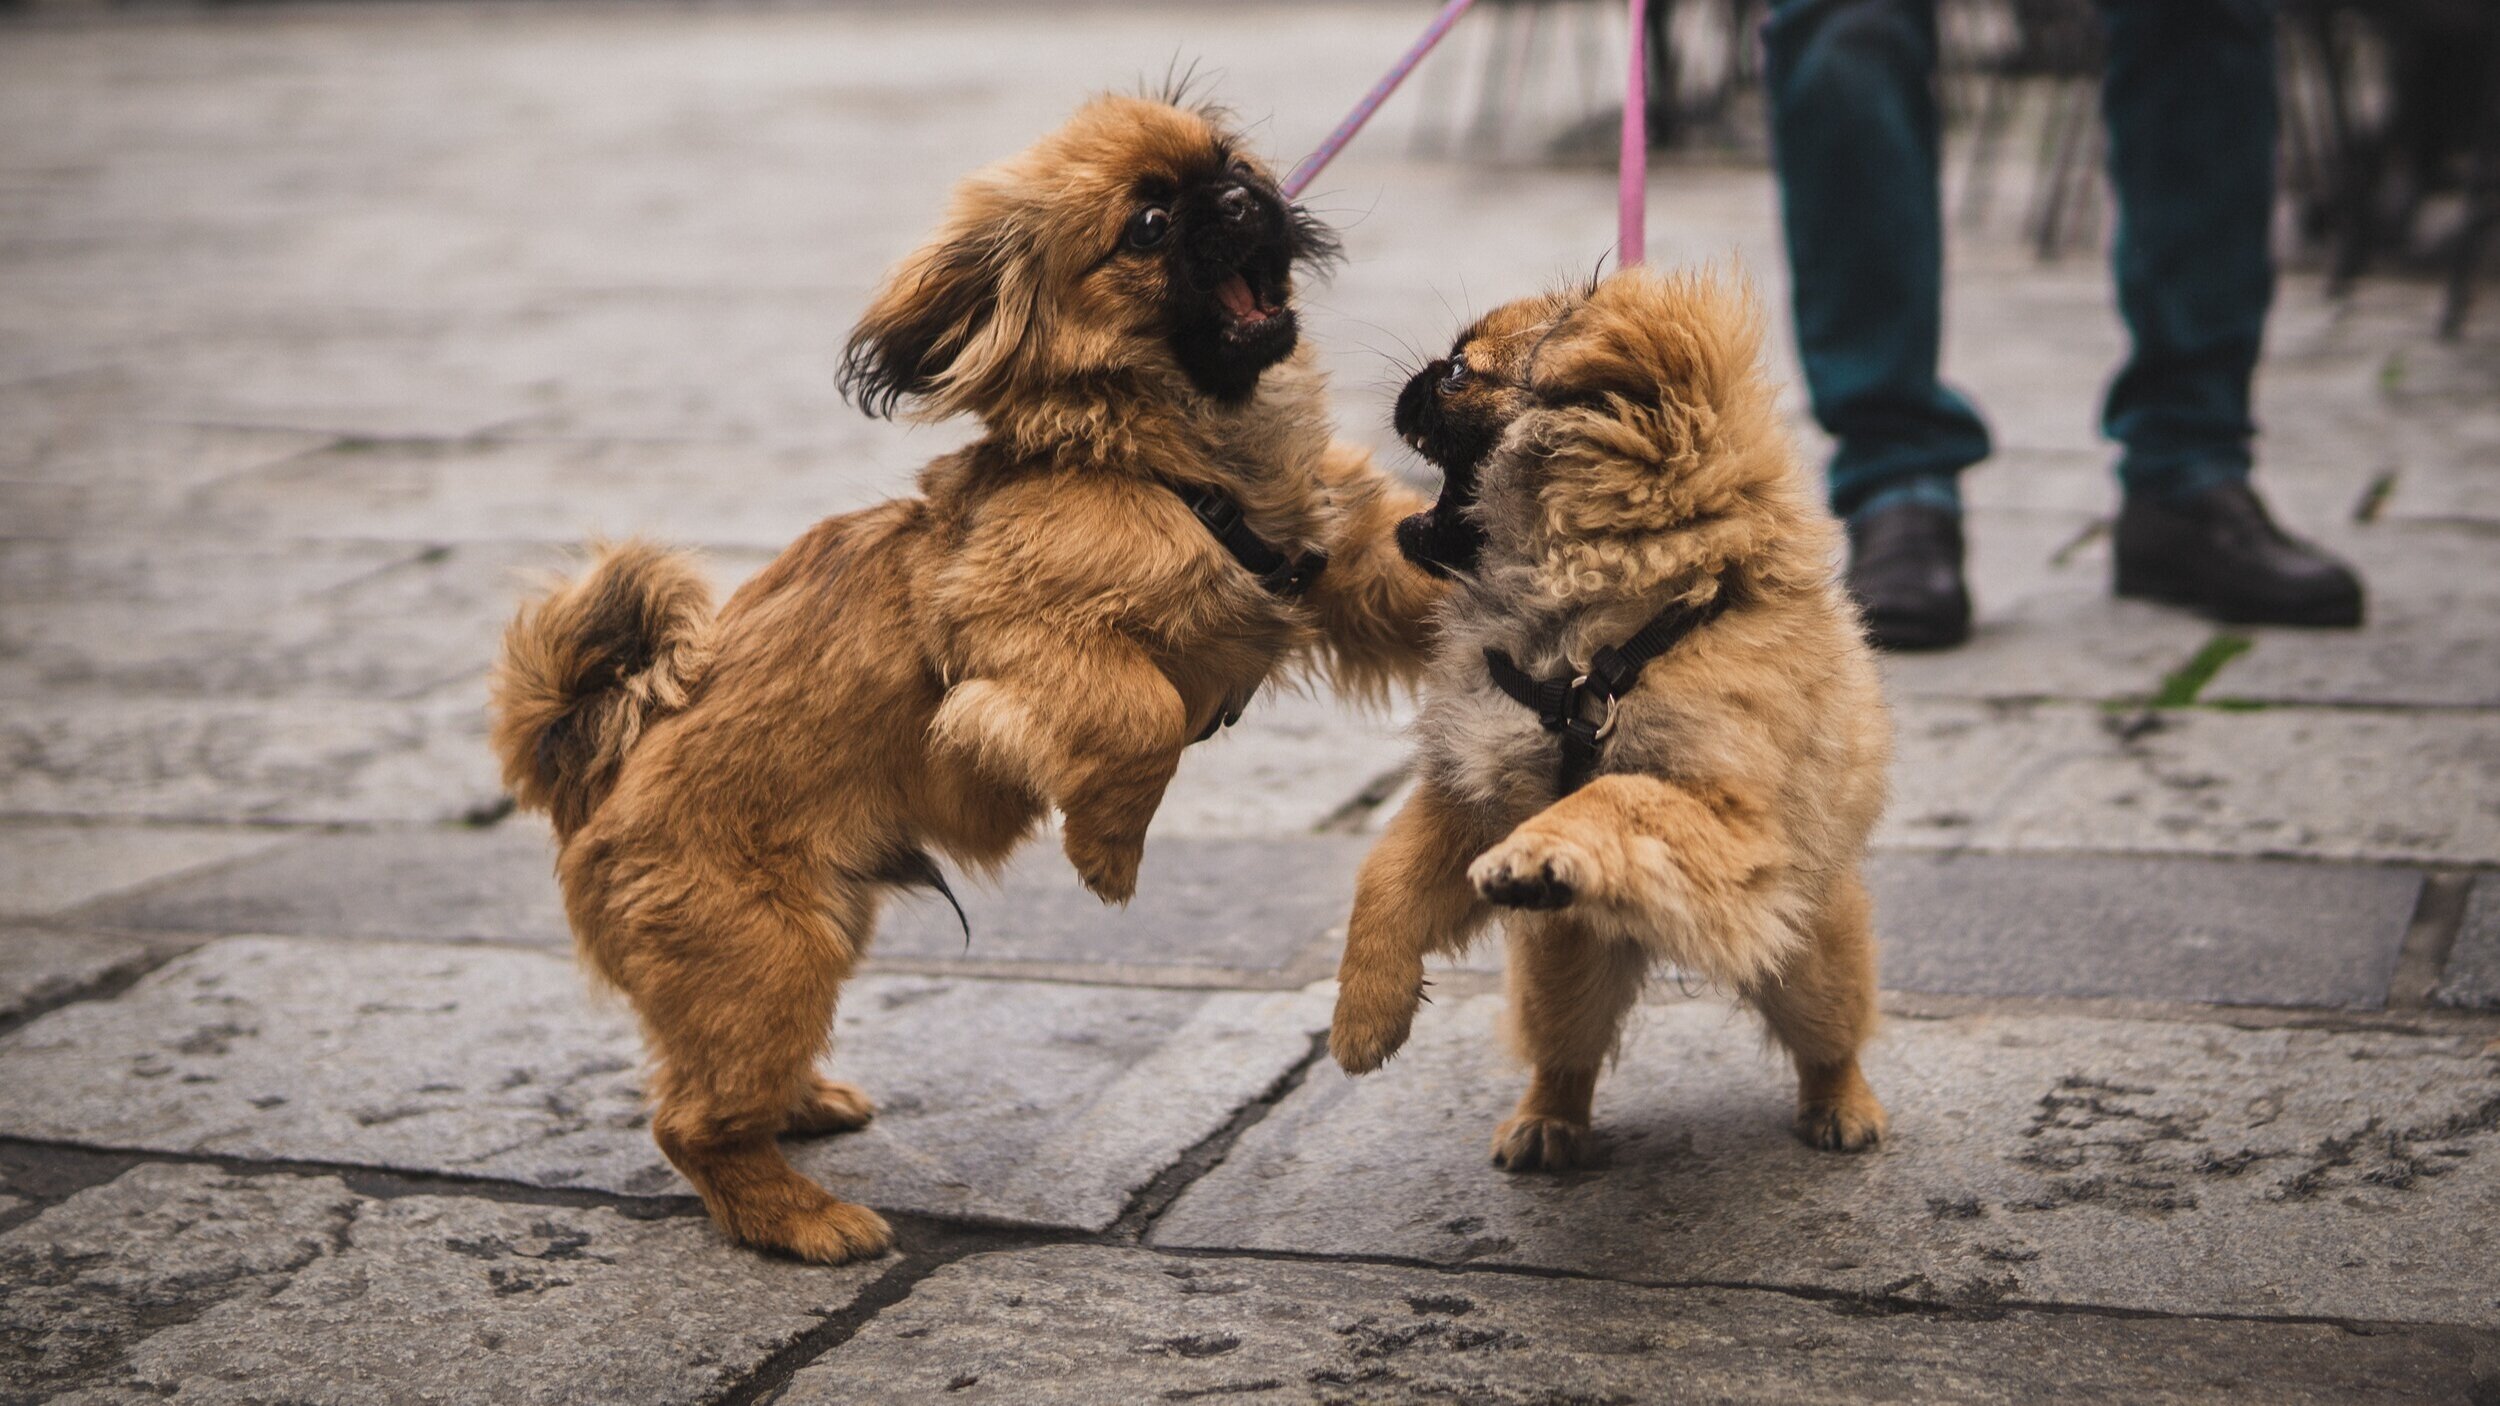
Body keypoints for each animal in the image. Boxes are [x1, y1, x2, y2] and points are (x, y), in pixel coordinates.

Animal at [482, 98, 1450, 1260]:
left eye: (1230, 161)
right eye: (1149, 223)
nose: (1239, 194)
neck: (1177, 460)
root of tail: (596, 776)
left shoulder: (1351, 562)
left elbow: (1422, 568)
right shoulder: (1004, 632)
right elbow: (1141, 713)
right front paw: (1109, 852)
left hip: (813, 932)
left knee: (713, 1083)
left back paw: (802, 1110)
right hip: (770, 953)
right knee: (689, 1121)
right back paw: (801, 1218)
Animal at [1340, 267, 1880, 1165]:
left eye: (1459, 375)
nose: (1413, 380)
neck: (1584, 639)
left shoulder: (1731, 817)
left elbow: (1614, 793)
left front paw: (1540, 852)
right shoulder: (1469, 794)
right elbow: (1382, 880)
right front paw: (1363, 1013)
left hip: (1809, 959)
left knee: (1830, 1038)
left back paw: (1843, 1107)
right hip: (1560, 970)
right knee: (1565, 1055)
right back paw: (1544, 1124)